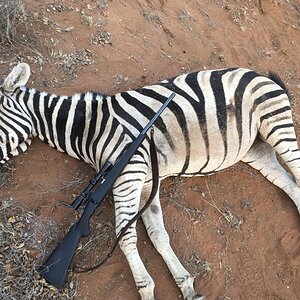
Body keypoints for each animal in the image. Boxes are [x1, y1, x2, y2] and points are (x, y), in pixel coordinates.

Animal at [0, 63, 300, 300]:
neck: (91, 129)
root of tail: (257, 72)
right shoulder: (143, 183)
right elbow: (158, 235)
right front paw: (187, 287)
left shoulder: (128, 177)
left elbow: (125, 235)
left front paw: (146, 289)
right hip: (255, 149)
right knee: (289, 183)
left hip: (275, 124)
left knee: (295, 169)